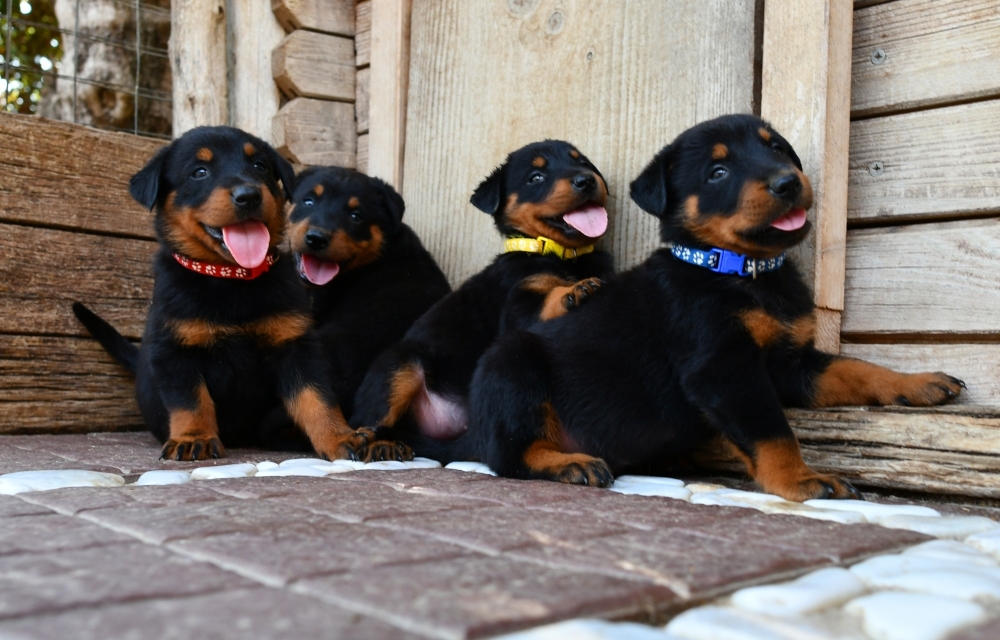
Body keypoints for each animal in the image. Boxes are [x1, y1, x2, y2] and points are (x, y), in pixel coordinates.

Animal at [72, 126, 380, 460]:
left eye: (259, 166)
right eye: (200, 172)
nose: (249, 195)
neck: (233, 278)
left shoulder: (295, 345)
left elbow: (316, 398)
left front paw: (339, 436)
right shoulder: (174, 349)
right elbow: (191, 400)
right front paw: (194, 437)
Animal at [352, 140, 616, 456]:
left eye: (583, 163)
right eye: (536, 177)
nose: (586, 180)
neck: (564, 256)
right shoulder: (517, 307)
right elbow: (548, 298)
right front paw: (575, 290)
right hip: (400, 364)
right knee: (368, 420)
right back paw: (380, 445)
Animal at [460, 116, 960, 504]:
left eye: (777, 149)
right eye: (718, 172)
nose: (788, 181)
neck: (743, 273)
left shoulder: (793, 365)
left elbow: (856, 368)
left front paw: (918, 382)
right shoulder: (722, 368)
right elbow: (772, 431)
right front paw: (801, 480)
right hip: (511, 364)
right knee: (507, 454)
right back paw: (569, 464)